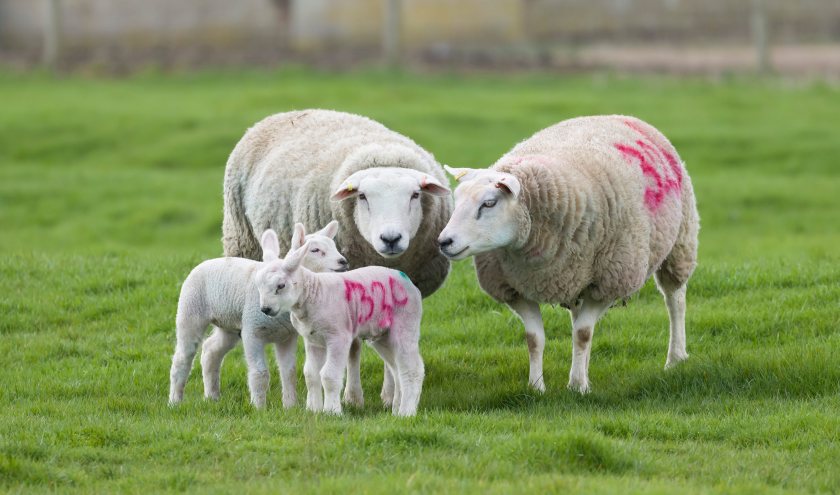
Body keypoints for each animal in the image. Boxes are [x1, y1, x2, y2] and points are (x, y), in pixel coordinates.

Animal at [168, 221, 348, 409]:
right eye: (315, 250)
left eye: (334, 246)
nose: (343, 262)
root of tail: (205, 262)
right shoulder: (252, 332)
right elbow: (260, 373)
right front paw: (259, 407)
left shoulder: (287, 336)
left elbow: (289, 371)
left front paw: (290, 405)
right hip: (190, 311)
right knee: (182, 357)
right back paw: (175, 400)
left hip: (230, 325)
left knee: (211, 351)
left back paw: (212, 396)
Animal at [262, 225, 425, 417]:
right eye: (315, 250)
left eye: (281, 286)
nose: (265, 309)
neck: (315, 291)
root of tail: (409, 282)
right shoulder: (312, 339)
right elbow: (310, 374)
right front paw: (313, 409)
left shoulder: (338, 336)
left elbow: (329, 375)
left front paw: (332, 411)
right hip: (383, 336)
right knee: (396, 367)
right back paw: (396, 408)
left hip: (405, 325)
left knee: (412, 369)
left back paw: (406, 412)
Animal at [437, 115, 699, 394]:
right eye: (456, 200)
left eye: (489, 203)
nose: (444, 242)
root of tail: (617, 115)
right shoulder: (514, 288)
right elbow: (535, 338)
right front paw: (537, 387)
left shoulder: (610, 281)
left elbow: (583, 333)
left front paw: (577, 386)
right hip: (576, 276)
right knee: (578, 316)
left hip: (679, 242)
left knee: (675, 300)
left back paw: (675, 358)